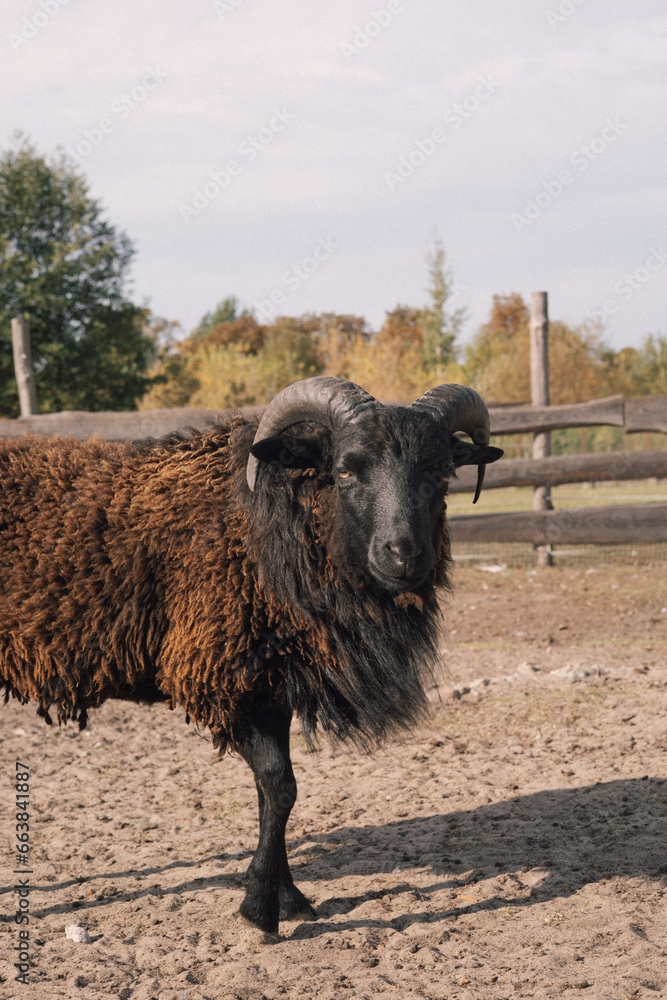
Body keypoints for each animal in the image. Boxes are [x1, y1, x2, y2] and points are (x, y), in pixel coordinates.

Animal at [0, 376, 502, 934]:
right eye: (345, 469)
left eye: (441, 473)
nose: (405, 554)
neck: (263, 529)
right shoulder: (223, 679)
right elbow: (279, 786)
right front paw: (261, 909)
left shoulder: (273, 683)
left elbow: (276, 792)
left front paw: (286, 897)